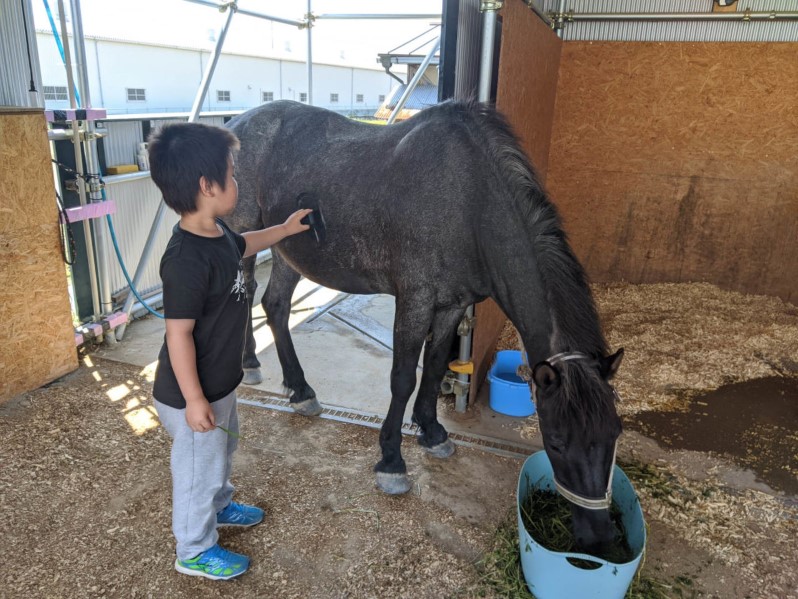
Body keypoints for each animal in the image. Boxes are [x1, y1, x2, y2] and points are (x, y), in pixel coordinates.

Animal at [223, 99, 624, 552]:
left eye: (615, 434)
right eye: (555, 440)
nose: (598, 538)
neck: (468, 199)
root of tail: (238, 122)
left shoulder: (452, 305)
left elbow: (432, 369)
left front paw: (433, 433)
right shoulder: (414, 300)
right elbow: (403, 378)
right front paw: (391, 462)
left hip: (289, 249)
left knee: (274, 305)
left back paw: (298, 389)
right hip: (244, 234)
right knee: (247, 292)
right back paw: (253, 367)